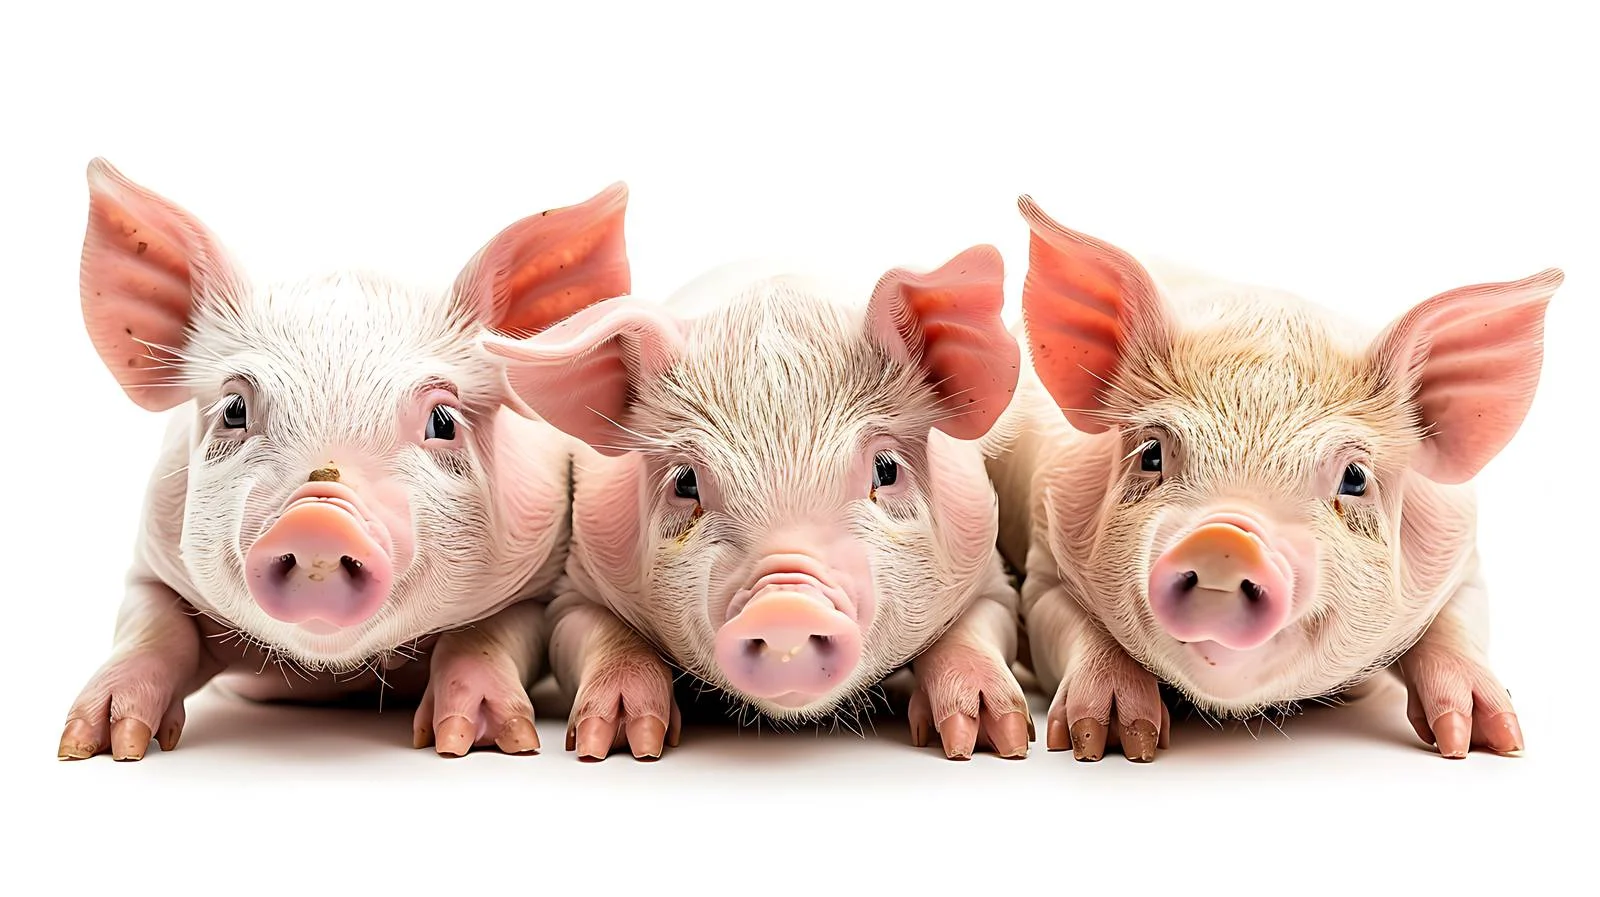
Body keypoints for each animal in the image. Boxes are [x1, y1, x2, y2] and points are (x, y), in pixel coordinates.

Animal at [58, 158, 630, 760]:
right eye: (234, 410)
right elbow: (150, 627)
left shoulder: (536, 570)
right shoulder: (151, 560)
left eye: (443, 422)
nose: (319, 518)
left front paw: (486, 738)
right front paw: (96, 742)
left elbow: (486, 632)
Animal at [483, 247, 1032, 760]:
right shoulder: (583, 576)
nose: (785, 604)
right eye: (686, 482)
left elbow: (977, 628)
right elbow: (596, 633)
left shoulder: (983, 565)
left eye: (886, 469)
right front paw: (614, 739)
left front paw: (998, 737)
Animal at [989, 195, 1562, 761]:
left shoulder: (1460, 558)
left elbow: (1456, 625)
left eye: (1355, 477)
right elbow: (1069, 624)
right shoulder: (1048, 544)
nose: (1223, 540)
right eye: (1152, 453)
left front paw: (1489, 740)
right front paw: (1110, 738)